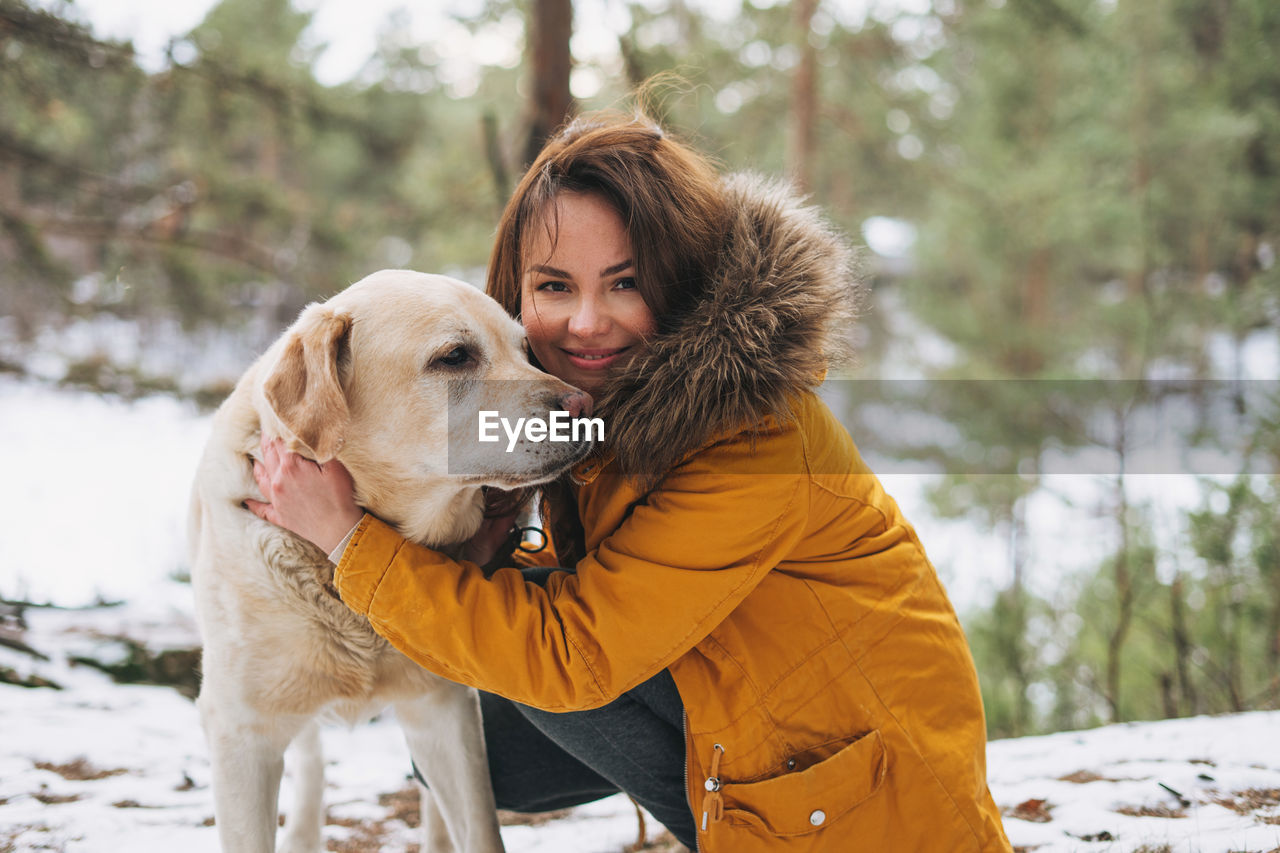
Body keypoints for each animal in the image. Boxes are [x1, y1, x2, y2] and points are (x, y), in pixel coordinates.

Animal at [188, 268, 593, 845]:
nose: (587, 409)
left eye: (526, 350)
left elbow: (480, 828)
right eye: (455, 356)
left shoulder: (444, 708)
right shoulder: (240, 732)